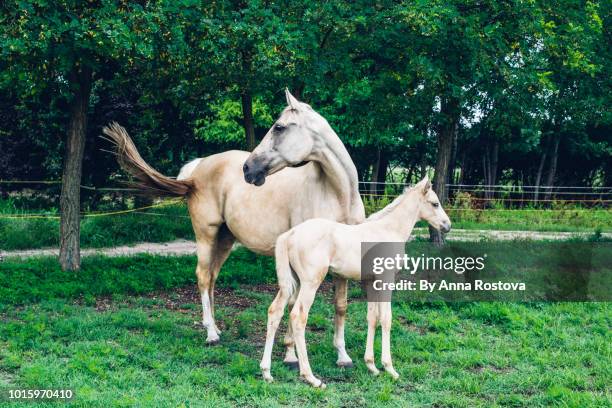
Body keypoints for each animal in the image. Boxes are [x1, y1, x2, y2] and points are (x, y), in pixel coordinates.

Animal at [103, 91, 366, 364]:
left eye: (279, 127)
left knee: (212, 278)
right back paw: (210, 334)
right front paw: (291, 355)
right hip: (206, 234)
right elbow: (294, 304)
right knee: (203, 276)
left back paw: (217, 327)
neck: (337, 195)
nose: (248, 169)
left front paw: (343, 356)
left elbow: (340, 305)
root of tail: (197, 168)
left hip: (225, 239)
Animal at [258, 177, 450, 388]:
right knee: (298, 316)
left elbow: (372, 317)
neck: (388, 230)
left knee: (275, 311)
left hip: (293, 282)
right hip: (310, 282)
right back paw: (311, 377)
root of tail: (290, 234)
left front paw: (372, 366)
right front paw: (389, 368)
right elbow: (386, 318)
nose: (447, 226)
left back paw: (267, 372)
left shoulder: (372, 282)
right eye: (435, 203)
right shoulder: (386, 279)